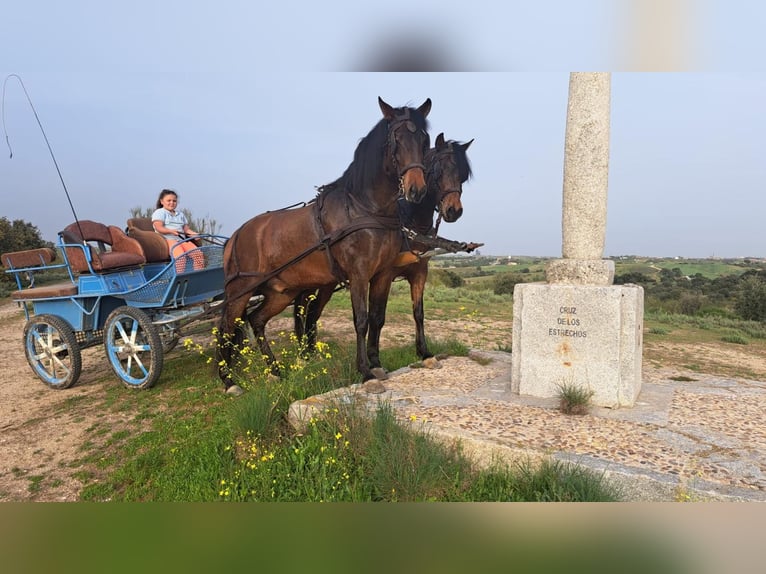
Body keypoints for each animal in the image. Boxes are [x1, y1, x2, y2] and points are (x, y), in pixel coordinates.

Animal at [216, 98, 432, 396]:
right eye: (396, 140)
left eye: (424, 140)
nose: (416, 190)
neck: (363, 208)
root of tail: (235, 235)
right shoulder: (358, 274)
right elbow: (361, 320)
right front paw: (365, 372)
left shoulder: (382, 274)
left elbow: (377, 317)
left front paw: (377, 364)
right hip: (240, 291)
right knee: (226, 327)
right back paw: (229, 382)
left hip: (281, 291)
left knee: (256, 320)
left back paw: (275, 371)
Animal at [294, 133, 474, 376]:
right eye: (439, 171)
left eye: (462, 176)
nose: (454, 211)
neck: (408, 223)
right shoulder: (385, 274)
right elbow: (376, 317)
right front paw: (372, 362)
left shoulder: (419, 272)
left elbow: (418, 312)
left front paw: (425, 353)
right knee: (307, 310)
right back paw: (306, 355)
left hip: (326, 284)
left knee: (312, 313)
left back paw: (311, 354)